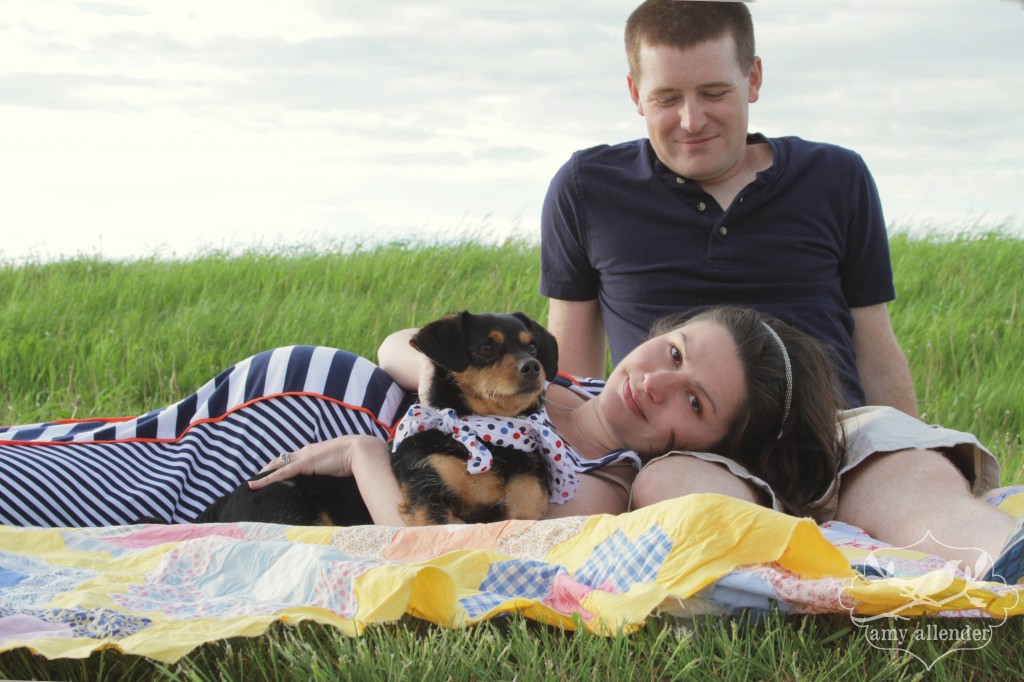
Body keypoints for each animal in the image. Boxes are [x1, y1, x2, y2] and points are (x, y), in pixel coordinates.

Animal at [194, 311, 557, 522]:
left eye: (533, 347)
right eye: (486, 348)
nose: (532, 366)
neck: (490, 437)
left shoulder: (526, 503)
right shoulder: (427, 497)